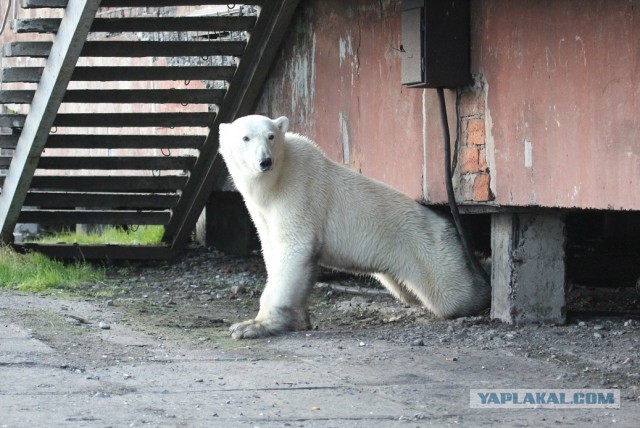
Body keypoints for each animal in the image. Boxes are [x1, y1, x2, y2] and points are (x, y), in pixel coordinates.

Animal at [218, 115, 492, 340]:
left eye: (271, 136)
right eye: (245, 138)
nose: (265, 161)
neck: (275, 181)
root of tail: (449, 226)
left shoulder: (299, 192)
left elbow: (295, 248)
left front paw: (252, 325)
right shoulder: (263, 211)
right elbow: (273, 250)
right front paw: (298, 319)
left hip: (430, 250)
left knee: (454, 294)